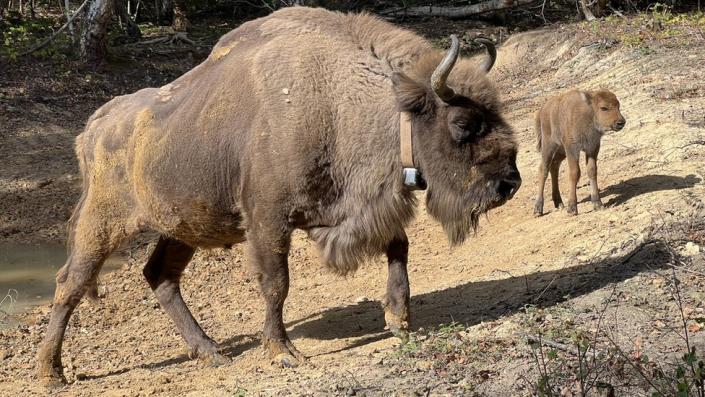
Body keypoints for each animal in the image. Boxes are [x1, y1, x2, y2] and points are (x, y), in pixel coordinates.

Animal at [40, 6, 524, 384]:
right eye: (463, 124)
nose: (510, 184)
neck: (340, 99)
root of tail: (94, 126)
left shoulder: (365, 207)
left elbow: (399, 249)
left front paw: (399, 322)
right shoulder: (269, 221)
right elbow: (277, 283)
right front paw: (283, 352)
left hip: (180, 227)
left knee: (159, 276)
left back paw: (212, 352)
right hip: (103, 224)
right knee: (70, 282)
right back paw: (52, 373)